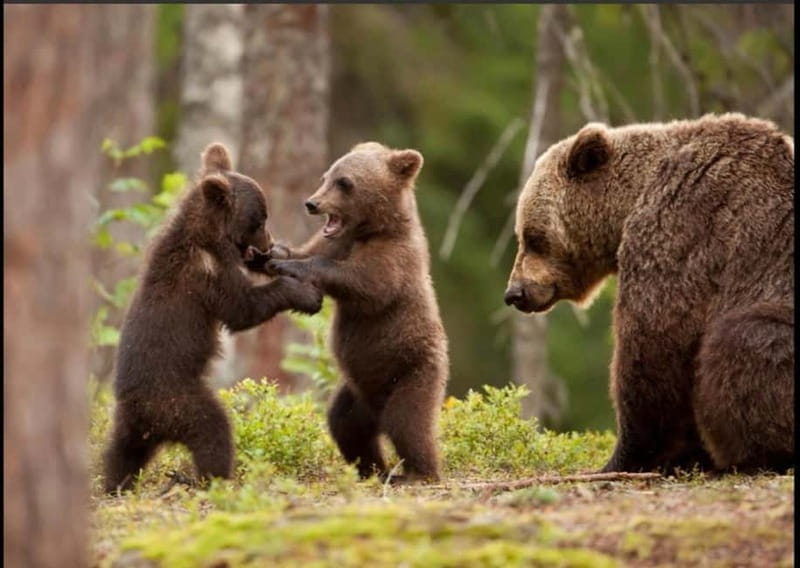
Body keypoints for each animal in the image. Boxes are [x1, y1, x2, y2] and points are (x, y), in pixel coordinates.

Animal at [103, 142, 323, 493]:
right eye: (260, 219)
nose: (268, 243)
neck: (209, 238)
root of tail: (144, 415)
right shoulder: (206, 275)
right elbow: (242, 309)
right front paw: (305, 294)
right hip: (178, 401)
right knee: (213, 429)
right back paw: (211, 477)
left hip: (131, 425)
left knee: (120, 453)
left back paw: (114, 483)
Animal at [265, 142, 449, 482]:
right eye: (326, 176)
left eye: (345, 183)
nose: (312, 203)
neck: (371, 229)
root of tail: (375, 407)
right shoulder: (337, 241)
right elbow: (310, 251)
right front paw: (275, 252)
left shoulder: (395, 258)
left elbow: (365, 284)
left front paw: (290, 266)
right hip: (356, 392)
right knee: (346, 425)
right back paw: (373, 469)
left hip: (413, 372)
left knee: (407, 423)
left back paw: (418, 472)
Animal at [504, 113, 794, 474]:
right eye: (522, 234)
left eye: (533, 237)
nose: (514, 292)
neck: (630, 202)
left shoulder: (683, 231)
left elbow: (653, 344)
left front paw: (624, 457)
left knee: (743, 339)